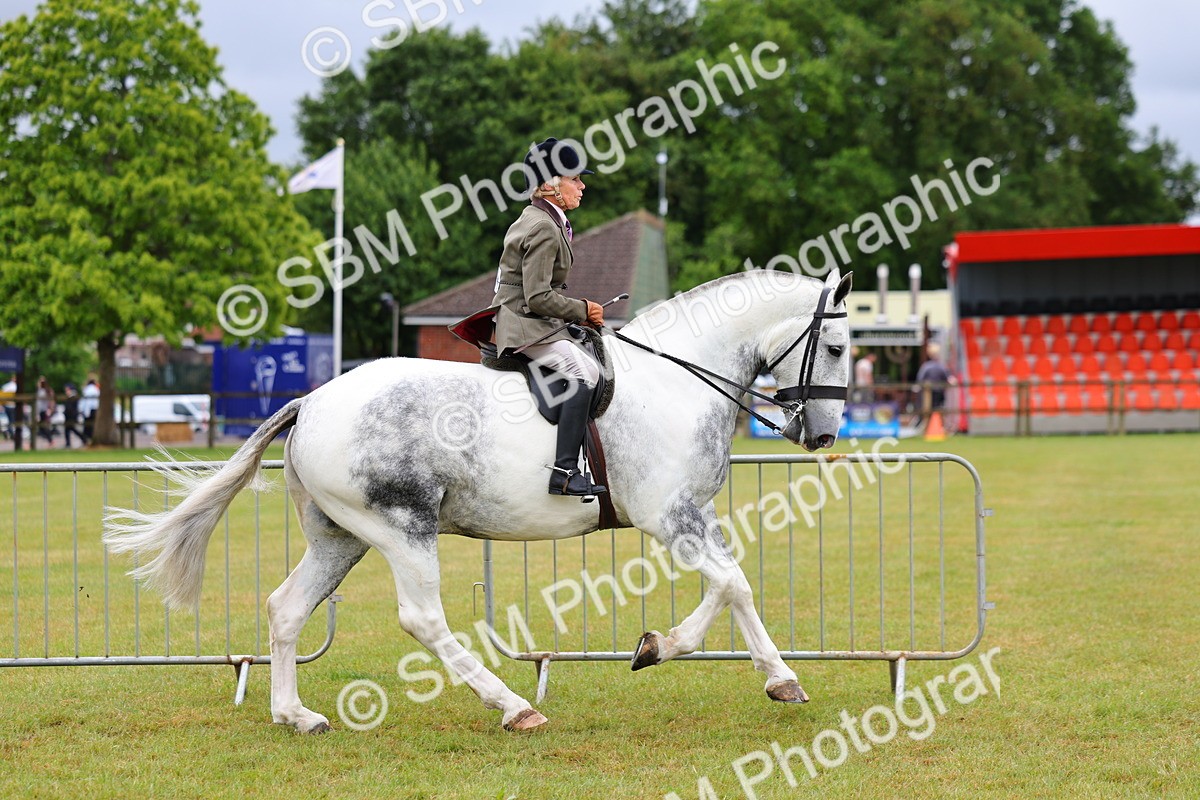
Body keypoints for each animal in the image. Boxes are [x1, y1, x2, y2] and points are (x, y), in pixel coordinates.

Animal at [103, 267, 853, 733]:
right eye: (842, 347)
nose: (822, 435)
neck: (677, 378)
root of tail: (311, 401)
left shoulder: (693, 514)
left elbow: (730, 585)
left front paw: (685, 652)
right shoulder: (670, 516)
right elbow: (733, 583)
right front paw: (750, 670)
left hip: (338, 537)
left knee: (287, 608)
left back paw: (297, 716)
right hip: (402, 528)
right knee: (423, 619)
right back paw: (514, 706)